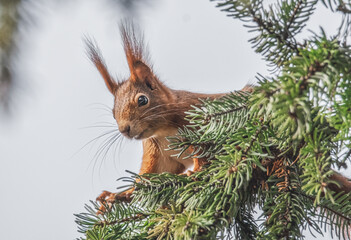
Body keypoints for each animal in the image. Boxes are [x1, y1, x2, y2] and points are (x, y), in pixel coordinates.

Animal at [86, 21, 351, 211]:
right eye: (112, 112)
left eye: (142, 100)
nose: (124, 129)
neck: (164, 131)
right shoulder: (158, 153)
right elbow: (148, 178)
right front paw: (118, 195)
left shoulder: (198, 125)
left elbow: (203, 154)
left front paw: (195, 173)